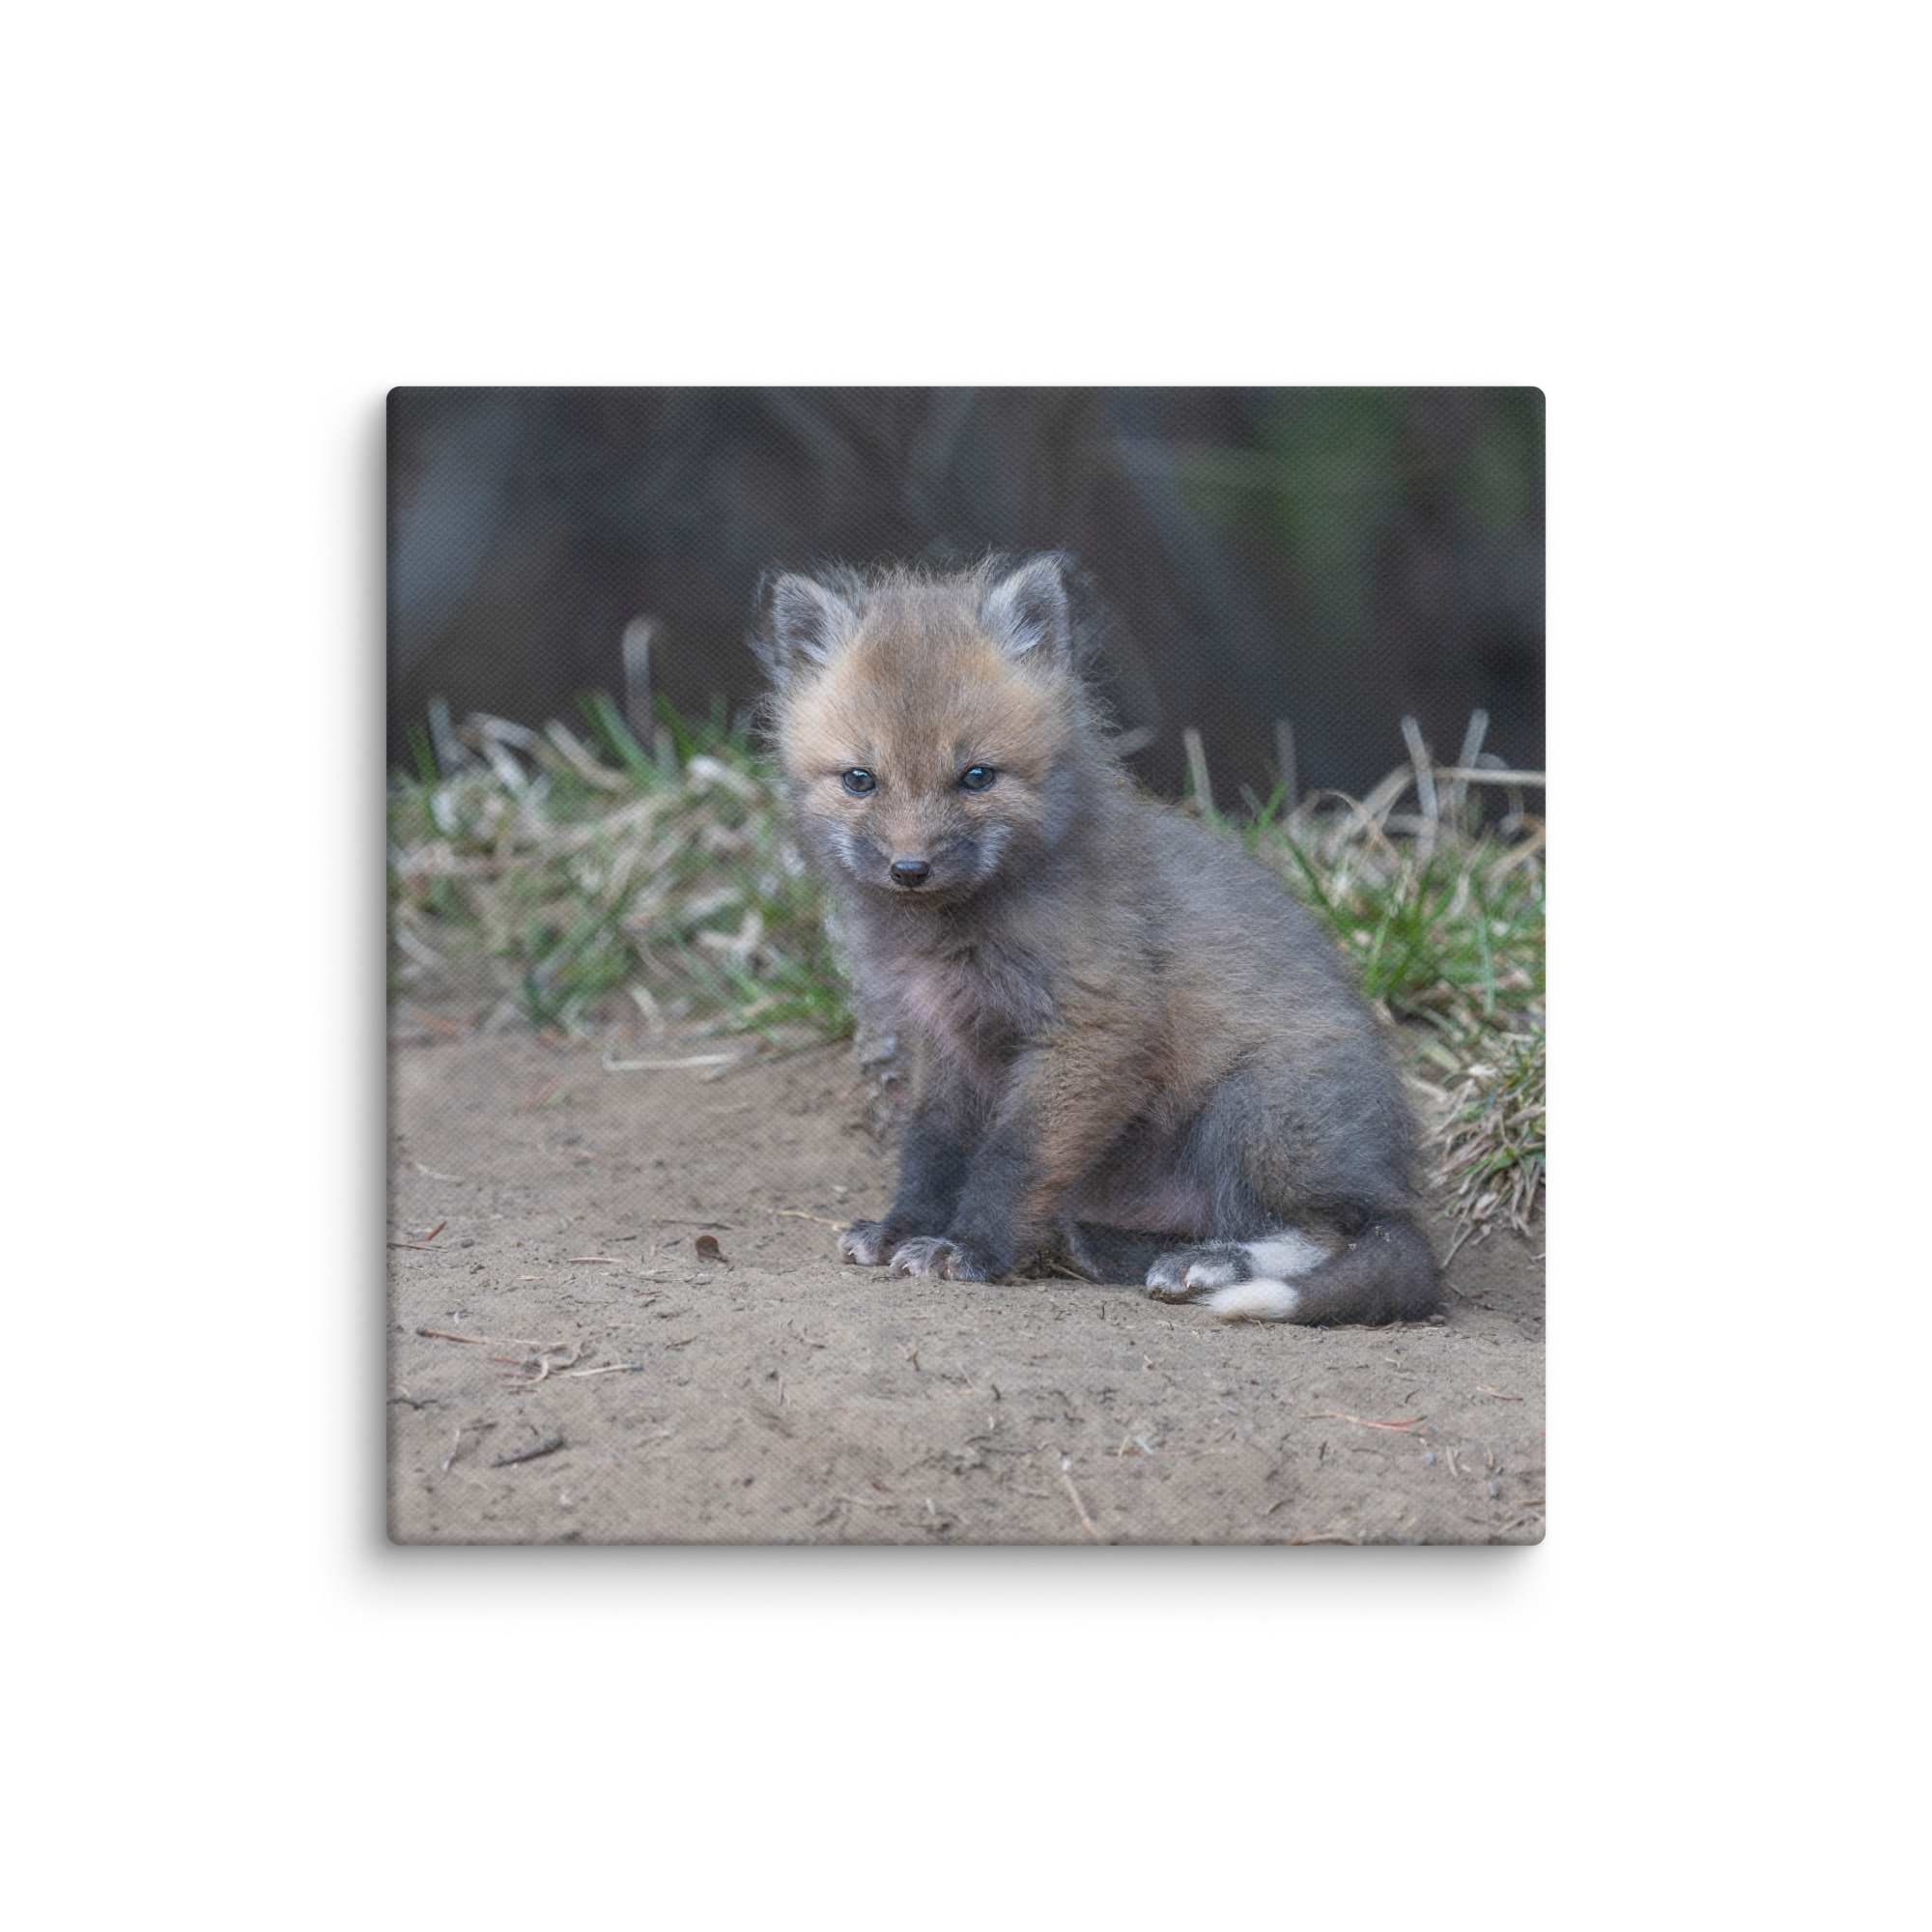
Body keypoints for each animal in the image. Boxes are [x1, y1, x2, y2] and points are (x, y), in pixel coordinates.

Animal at [752, 553, 1439, 1325]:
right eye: (860, 780)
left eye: (976, 777)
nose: (910, 868)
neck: (953, 934)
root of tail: (1392, 1181)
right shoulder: (947, 1041)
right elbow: (932, 1149)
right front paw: (905, 1229)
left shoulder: (1094, 1027)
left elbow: (1011, 1158)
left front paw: (971, 1250)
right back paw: (1109, 1247)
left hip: (1255, 1109)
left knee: (1336, 1234)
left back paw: (1210, 1264)